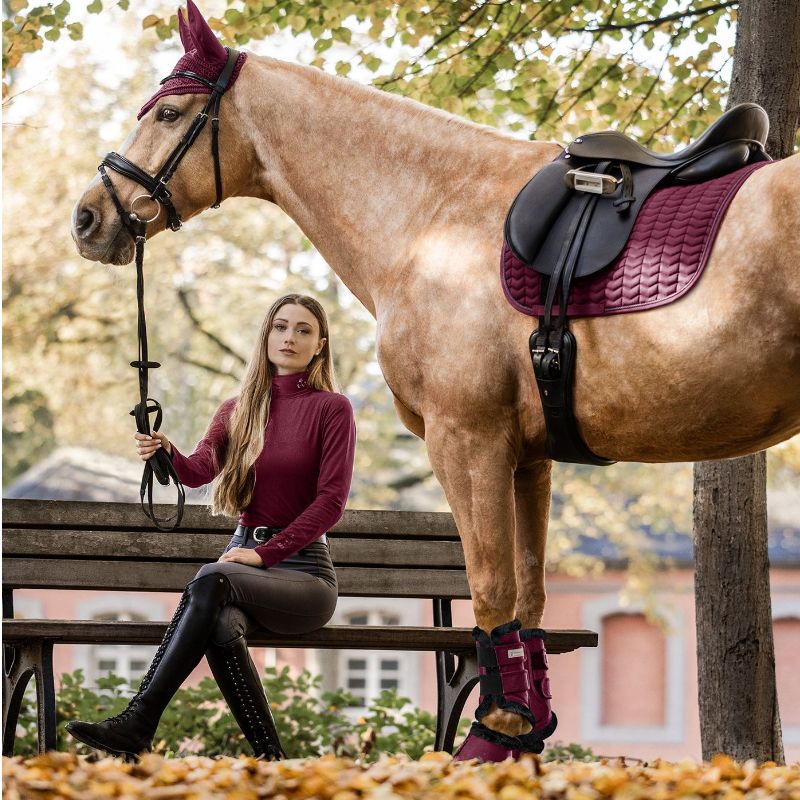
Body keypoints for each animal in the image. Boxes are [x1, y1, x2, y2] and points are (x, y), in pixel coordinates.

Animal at [71, 1, 800, 757]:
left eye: (169, 113)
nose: (88, 217)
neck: (438, 216)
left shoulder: (467, 441)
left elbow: (490, 586)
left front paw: (494, 732)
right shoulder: (527, 457)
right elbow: (528, 591)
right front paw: (521, 734)